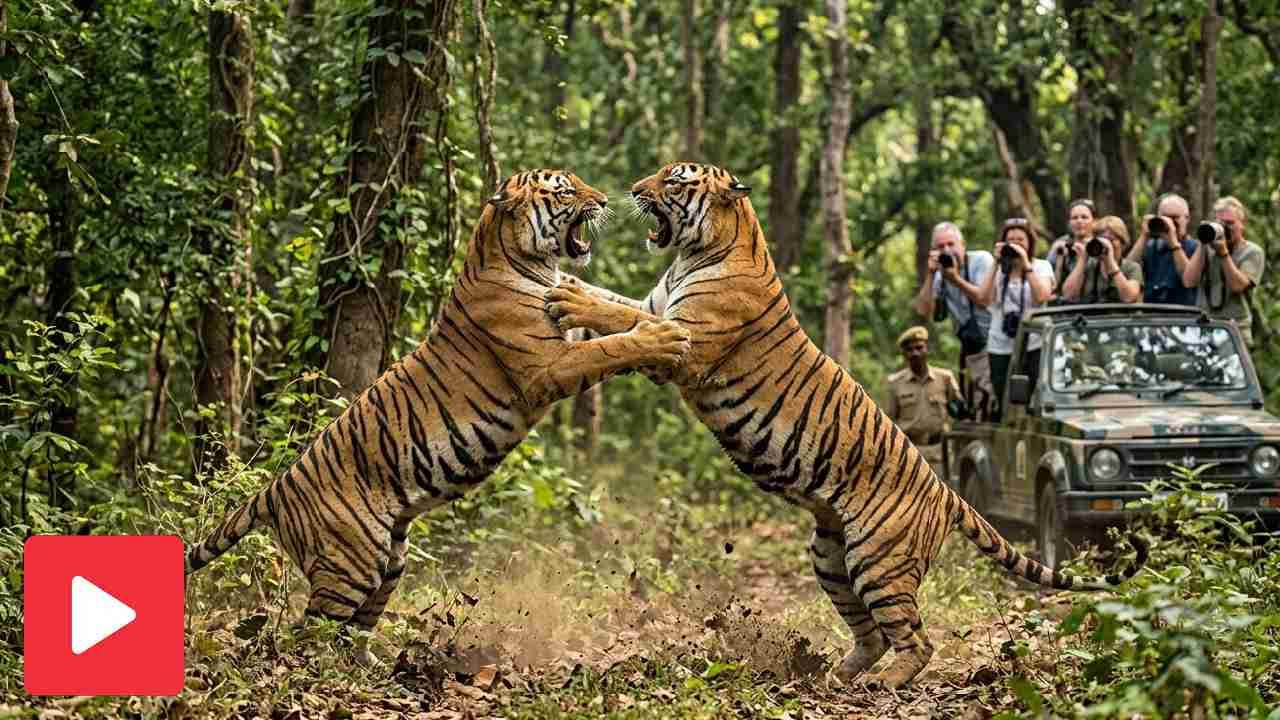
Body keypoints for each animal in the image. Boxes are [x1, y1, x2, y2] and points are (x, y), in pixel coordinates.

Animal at [185, 170, 691, 629]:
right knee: (308, 635)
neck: (520, 258)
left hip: (390, 559)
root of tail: (275, 487)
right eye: (565, 191)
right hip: (350, 563)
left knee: (352, 629)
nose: (604, 199)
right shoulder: (547, 366)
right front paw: (664, 337)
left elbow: (613, 306)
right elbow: (609, 347)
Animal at [546, 162, 1148, 688]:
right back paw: (834, 677)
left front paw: (569, 298)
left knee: (917, 640)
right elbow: (619, 304)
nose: (633, 189)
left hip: (877, 561)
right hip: (831, 557)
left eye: (674, 180)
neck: (700, 251)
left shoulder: (684, 340)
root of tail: (947, 494)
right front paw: (569, 290)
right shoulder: (658, 306)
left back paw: (883, 684)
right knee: (873, 635)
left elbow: (625, 318)